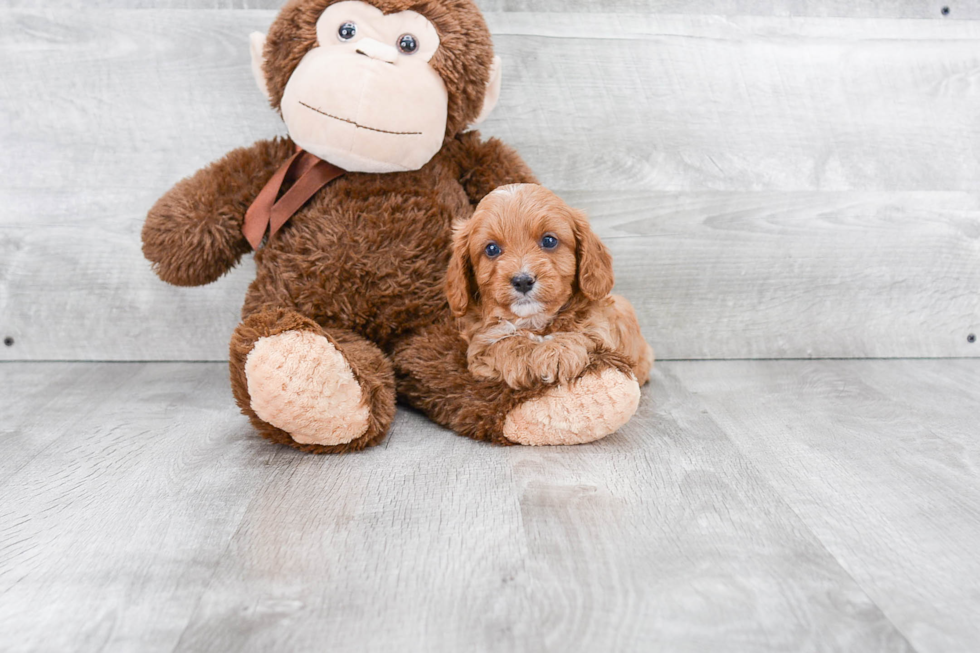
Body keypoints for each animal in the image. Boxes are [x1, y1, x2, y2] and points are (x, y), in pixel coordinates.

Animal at [450, 181, 652, 390]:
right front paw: (521, 358)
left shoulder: (601, 333)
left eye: (549, 241)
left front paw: (557, 352)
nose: (523, 281)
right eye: (491, 249)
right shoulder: (479, 346)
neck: (535, 321)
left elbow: (580, 334)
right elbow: (501, 342)